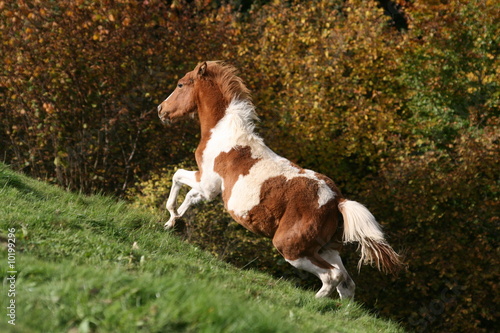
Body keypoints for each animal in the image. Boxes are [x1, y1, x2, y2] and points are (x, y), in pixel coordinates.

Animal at [158, 61, 404, 296]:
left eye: (180, 84)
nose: (161, 109)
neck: (223, 134)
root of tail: (337, 201)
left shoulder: (207, 183)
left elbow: (177, 177)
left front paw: (170, 217)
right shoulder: (208, 188)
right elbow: (189, 197)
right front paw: (173, 222)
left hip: (292, 248)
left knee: (331, 276)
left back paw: (310, 304)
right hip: (327, 248)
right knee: (347, 283)